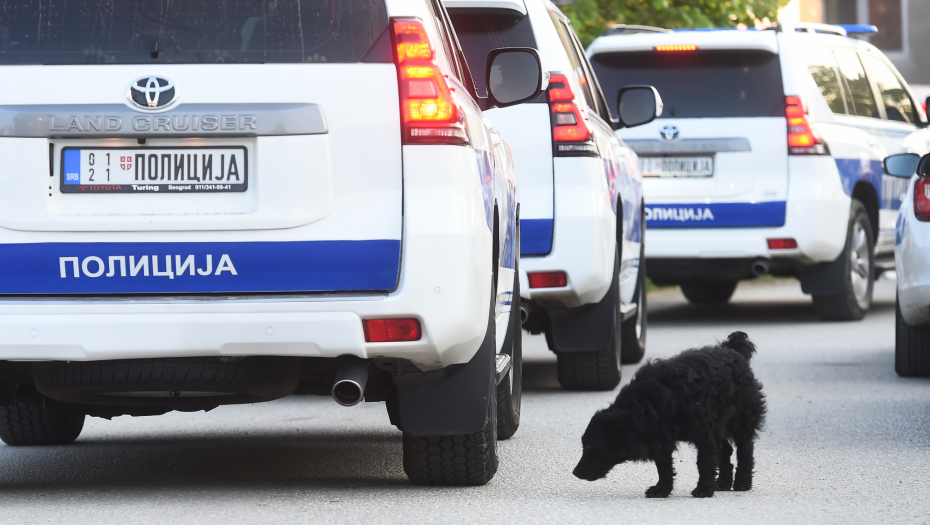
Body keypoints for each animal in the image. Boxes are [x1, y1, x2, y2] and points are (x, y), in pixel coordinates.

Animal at [572, 330, 760, 498]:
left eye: (590, 447)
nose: (575, 472)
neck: (647, 404)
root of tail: (732, 349)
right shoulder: (660, 437)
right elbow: (663, 467)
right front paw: (662, 489)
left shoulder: (704, 434)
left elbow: (704, 463)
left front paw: (704, 489)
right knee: (725, 450)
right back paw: (723, 482)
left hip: (742, 420)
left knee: (745, 450)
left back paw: (742, 482)